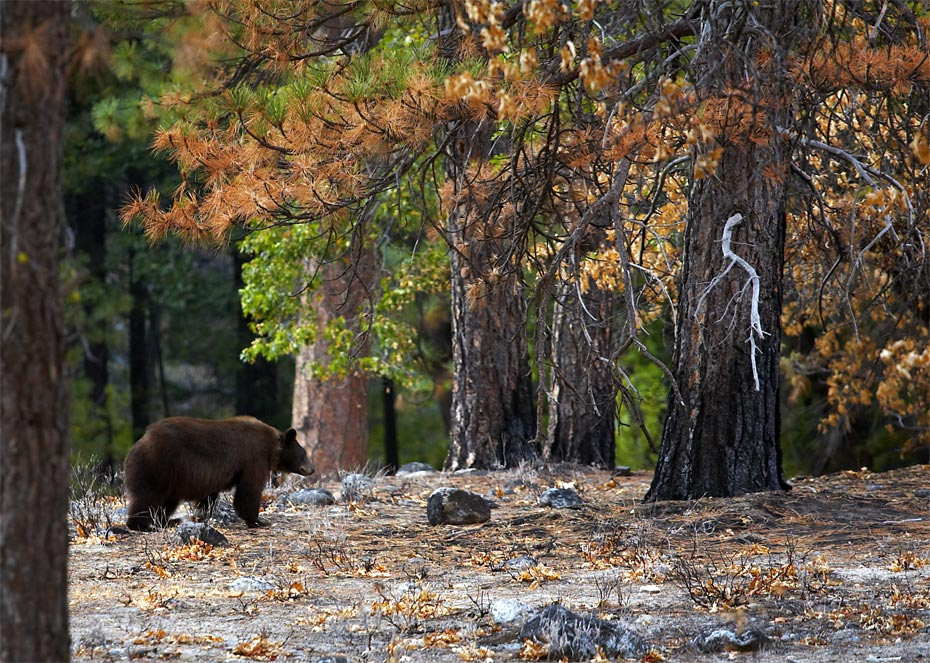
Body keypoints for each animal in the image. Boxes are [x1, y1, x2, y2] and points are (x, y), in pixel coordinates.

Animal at [124, 416, 314, 531]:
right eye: (304, 453)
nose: (312, 469)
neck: (271, 447)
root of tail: (138, 443)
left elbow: (209, 496)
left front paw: (203, 515)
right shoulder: (253, 459)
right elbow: (249, 490)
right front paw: (257, 520)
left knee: (167, 502)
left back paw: (169, 521)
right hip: (158, 465)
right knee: (148, 496)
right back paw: (141, 525)